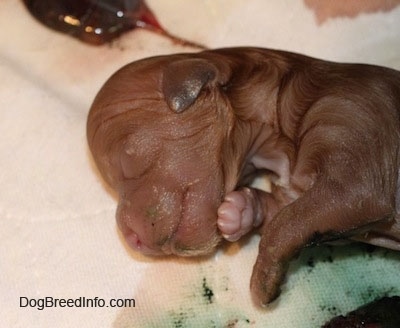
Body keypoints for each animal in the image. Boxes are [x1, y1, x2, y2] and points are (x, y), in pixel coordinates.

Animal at [87, 47, 400, 306]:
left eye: (127, 160)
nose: (130, 240)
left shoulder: (354, 154)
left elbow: (285, 225)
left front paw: (263, 281)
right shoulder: (297, 195)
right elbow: (283, 213)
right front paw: (238, 212)